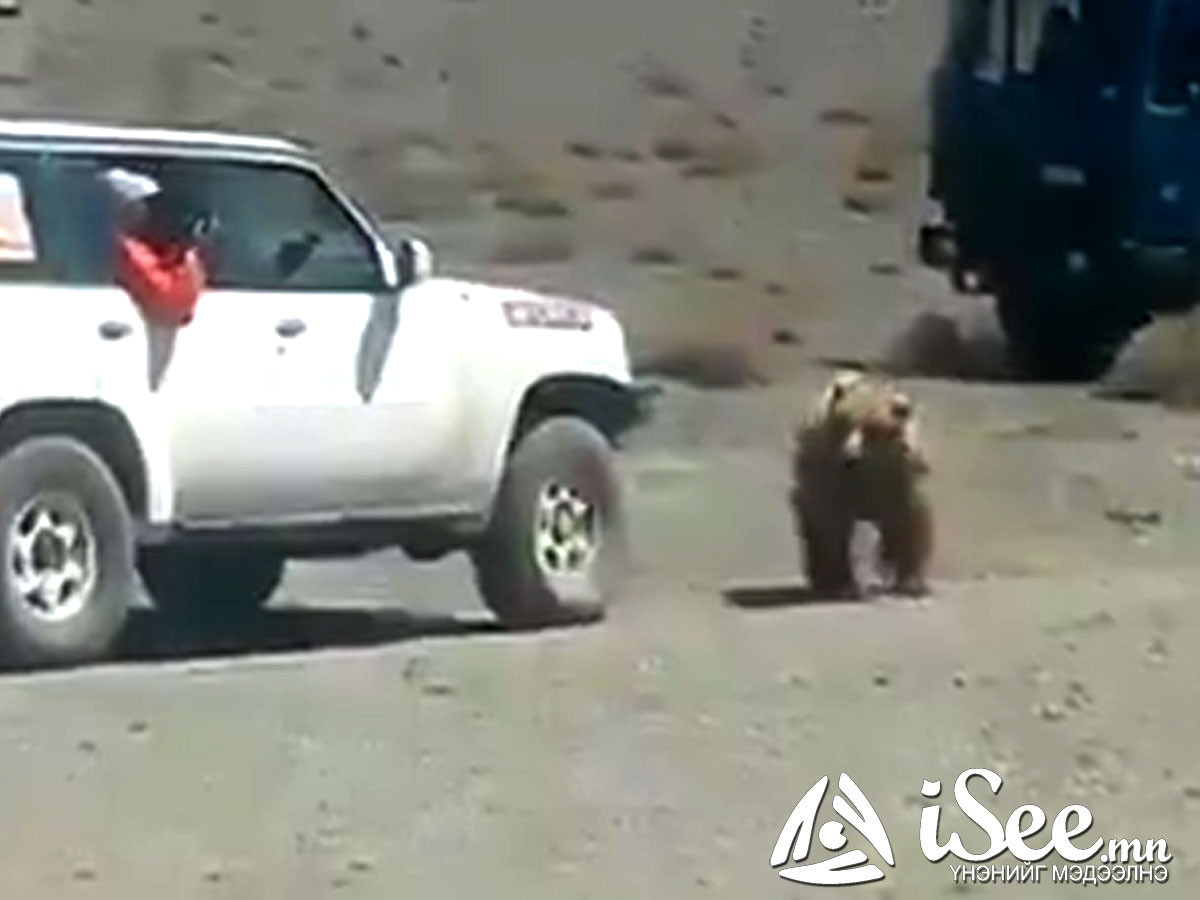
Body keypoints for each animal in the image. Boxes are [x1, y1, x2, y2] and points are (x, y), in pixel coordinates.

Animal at [792, 369, 931, 602]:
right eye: (846, 423)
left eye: (872, 430)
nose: (851, 457)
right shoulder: (828, 471)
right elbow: (831, 525)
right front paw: (842, 585)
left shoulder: (899, 473)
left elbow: (908, 520)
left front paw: (910, 583)